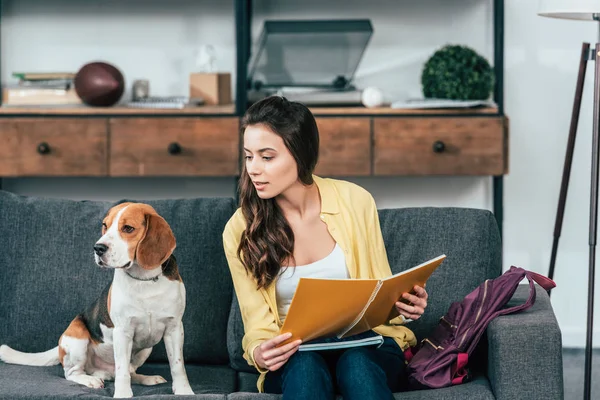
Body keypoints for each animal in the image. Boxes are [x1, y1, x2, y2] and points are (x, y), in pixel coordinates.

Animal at [0, 205, 195, 398]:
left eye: (128, 228)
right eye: (105, 226)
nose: (98, 248)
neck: (144, 279)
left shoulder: (175, 328)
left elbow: (178, 365)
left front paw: (184, 391)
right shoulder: (122, 331)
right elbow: (122, 369)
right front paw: (123, 394)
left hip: (147, 349)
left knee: (128, 371)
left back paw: (145, 378)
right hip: (78, 338)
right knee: (73, 373)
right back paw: (90, 380)